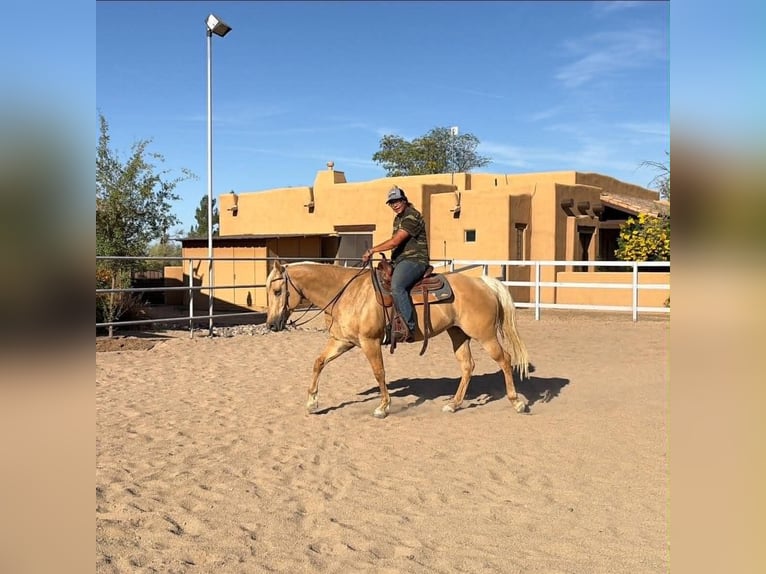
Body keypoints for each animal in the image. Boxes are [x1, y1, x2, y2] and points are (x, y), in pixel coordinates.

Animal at [265, 261, 530, 418]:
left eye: (277, 291)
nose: (271, 324)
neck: (347, 292)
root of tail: (482, 282)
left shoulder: (370, 342)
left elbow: (379, 372)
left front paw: (383, 406)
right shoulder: (343, 341)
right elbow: (318, 362)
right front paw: (312, 403)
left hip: (485, 335)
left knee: (505, 360)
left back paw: (517, 402)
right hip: (458, 333)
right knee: (467, 366)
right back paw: (453, 404)